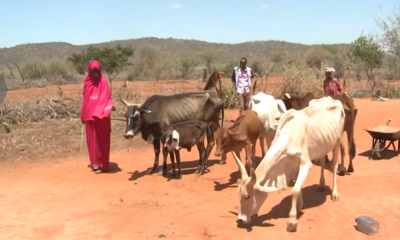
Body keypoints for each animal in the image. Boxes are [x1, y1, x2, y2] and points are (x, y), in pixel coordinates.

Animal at [233, 96, 346, 232]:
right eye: (238, 194)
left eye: (247, 196)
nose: (240, 219)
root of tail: (332, 99)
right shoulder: (294, 165)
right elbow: (299, 188)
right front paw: (299, 207)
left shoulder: (305, 164)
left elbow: (295, 190)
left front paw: (292, 220)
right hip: (323, 145)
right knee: (323, 162)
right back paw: (321, 184)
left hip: (337, 142)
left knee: (334, 166)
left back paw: (334, 193)